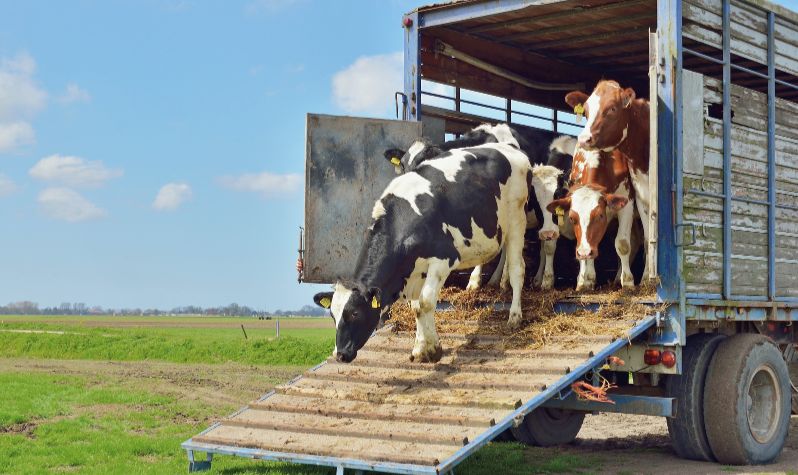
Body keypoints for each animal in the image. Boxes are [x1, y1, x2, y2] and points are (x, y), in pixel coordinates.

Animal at [316, 141, 536, 364]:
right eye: (333, 315)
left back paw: (515, 316)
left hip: (517, 219)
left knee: (518, 269)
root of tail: (510, 148)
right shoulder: (415, 270)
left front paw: (430, 350)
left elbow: (426, 303)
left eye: (355, 313)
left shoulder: (443, 259)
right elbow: (416, 308)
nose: (339, 354)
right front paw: (421, 347)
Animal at [564, 78, 652, 278]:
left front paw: (631, 280)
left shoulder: (628, 200)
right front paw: (585, 278)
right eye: (586, 111)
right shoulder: (641, 196)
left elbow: (623, 243)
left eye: (612, 108)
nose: (584, 139)